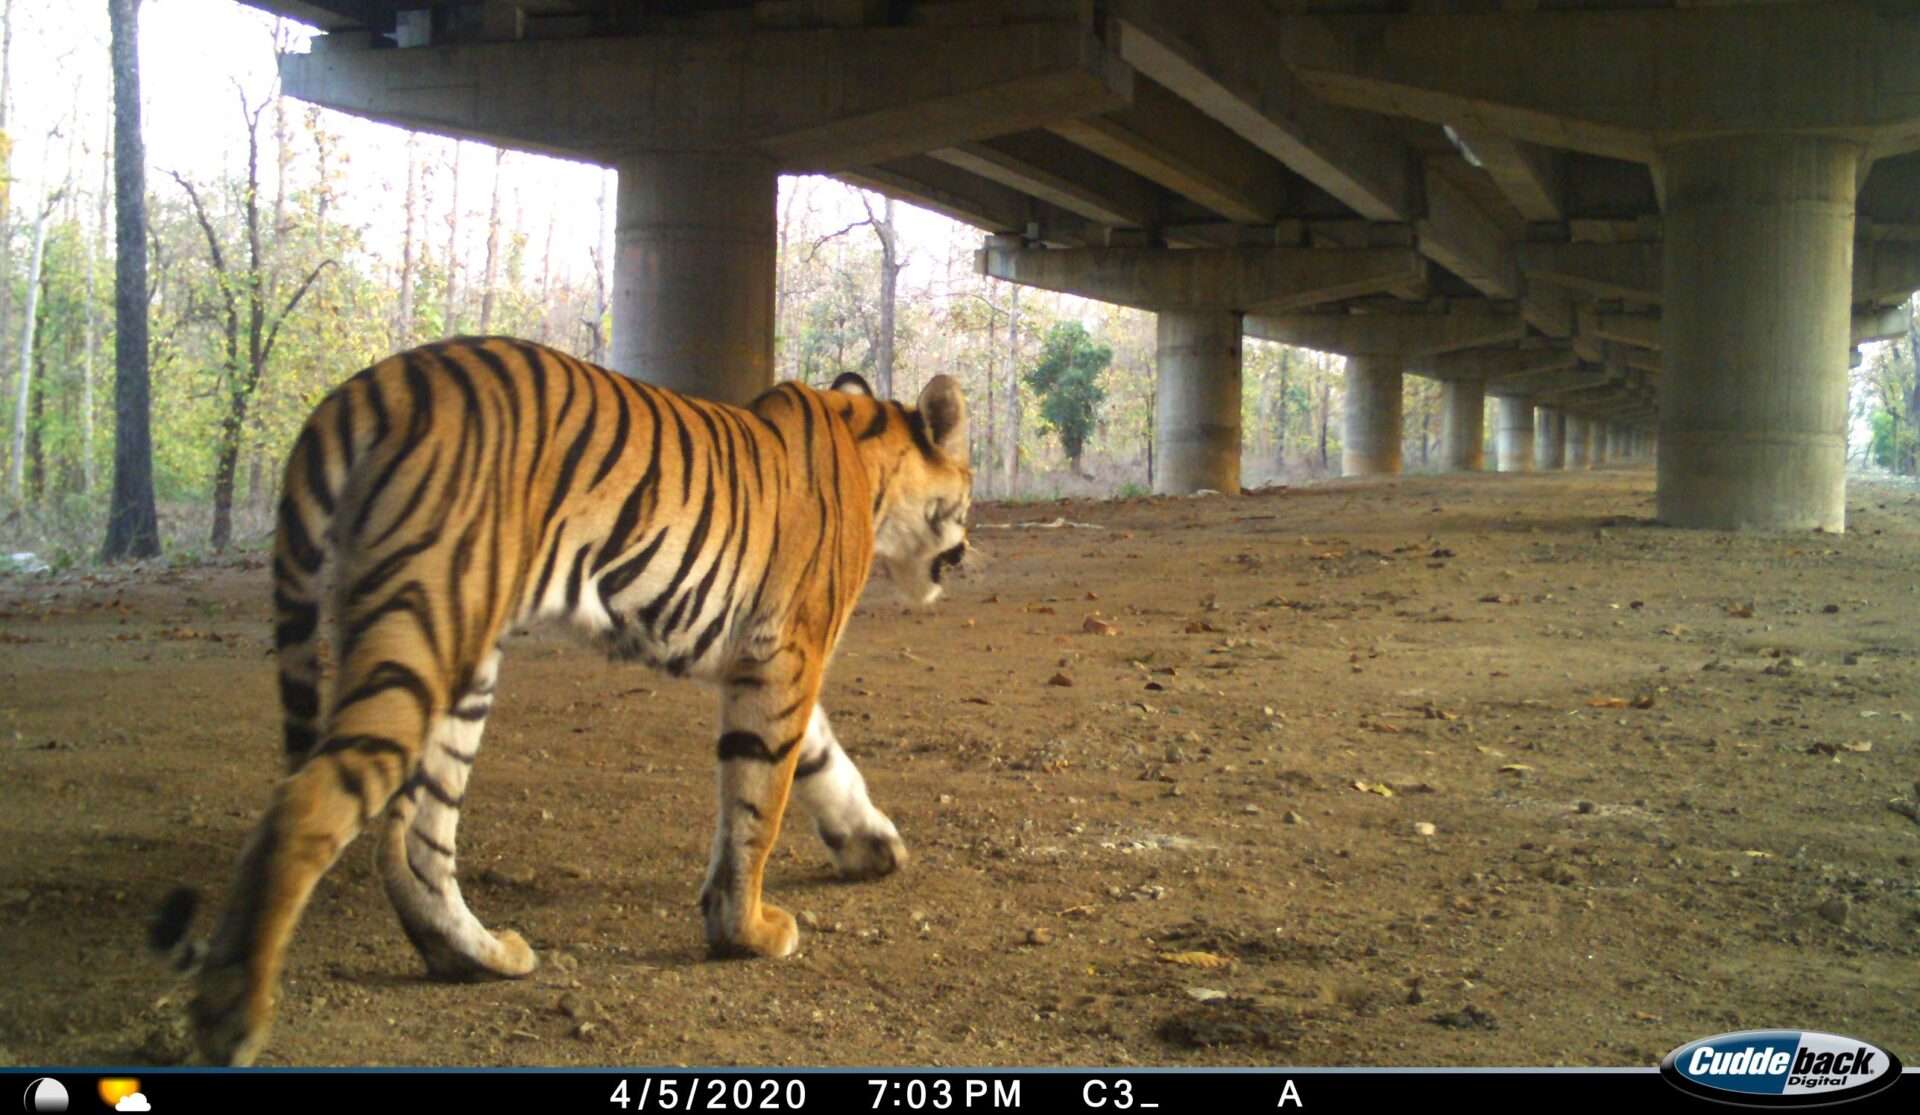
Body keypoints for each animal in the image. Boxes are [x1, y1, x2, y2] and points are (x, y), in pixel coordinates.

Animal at [150, 336, 973, 1066]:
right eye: (966, 496)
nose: (968, 550)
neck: (870, 457)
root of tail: (370, 385)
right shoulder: (785, 655)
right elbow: (758, 803)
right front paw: (748, 931)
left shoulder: (758, 663)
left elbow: (817, 758)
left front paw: (869, 845)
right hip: (421, 632)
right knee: (310, 802)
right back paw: (233, 1016)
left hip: (462, 666)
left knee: (412, 837)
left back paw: (479, 957)